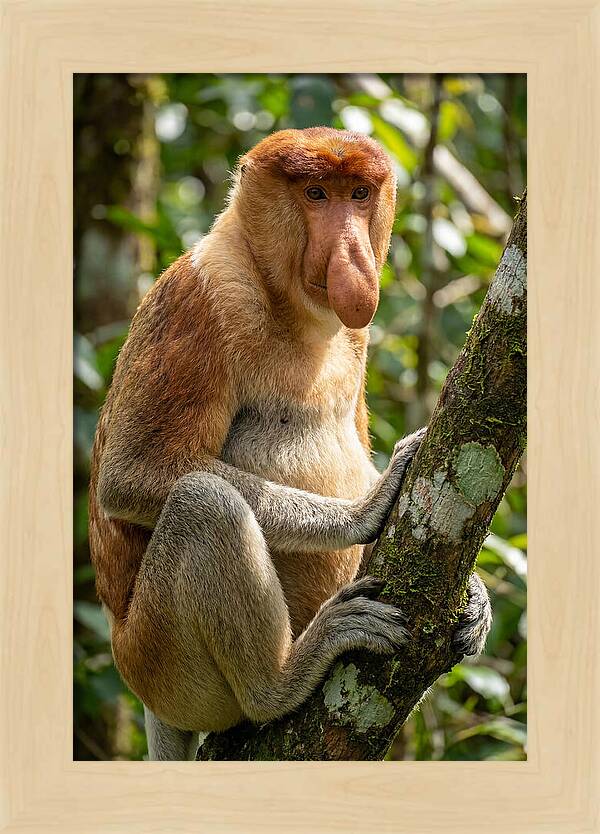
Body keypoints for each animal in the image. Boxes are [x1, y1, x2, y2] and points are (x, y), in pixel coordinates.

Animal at [88, 127, 491, 761]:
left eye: (357, 194)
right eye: (316, 194)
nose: (352, 254)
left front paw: (476, 595)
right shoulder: (201, 299)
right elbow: (133, 474)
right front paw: (365, 509)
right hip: (159, 662)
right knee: (203, 504)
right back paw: (282, 679)